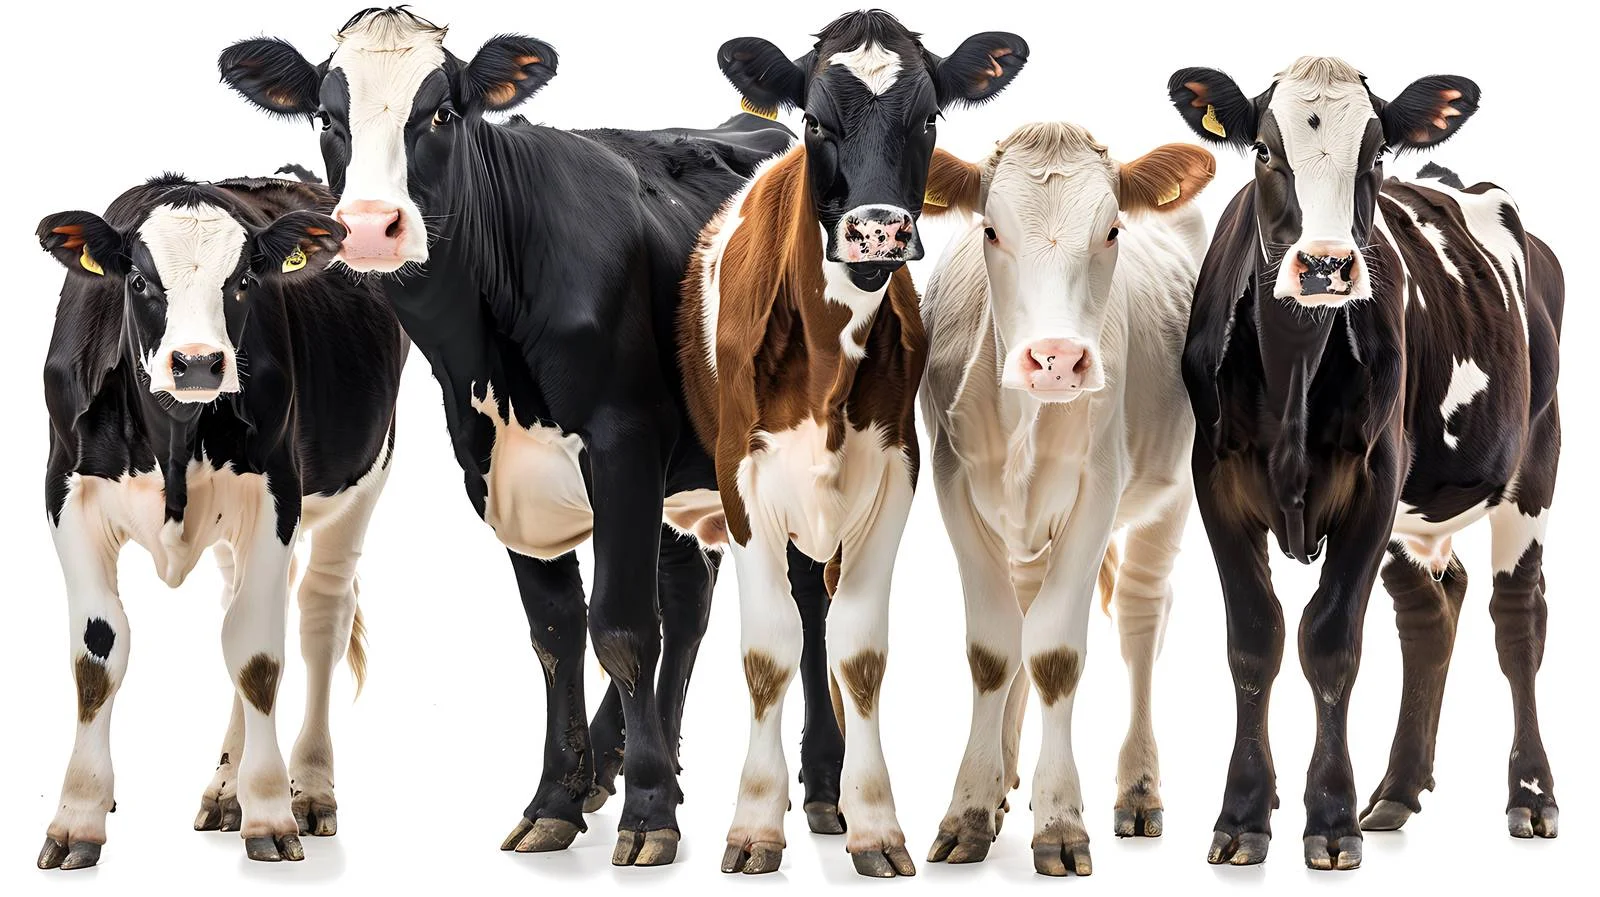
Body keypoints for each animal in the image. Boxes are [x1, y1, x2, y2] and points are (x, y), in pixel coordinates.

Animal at [33, 172, 405, 868]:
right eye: (139, 280)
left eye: (243, 280)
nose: (200, 363)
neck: (175, 438)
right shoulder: (66, 496)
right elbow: (98, 657)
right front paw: (77, 818)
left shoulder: (277, 496)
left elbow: (257, 657)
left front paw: (271, 814)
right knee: (237, 607)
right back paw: (226, 788)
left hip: (366, 480)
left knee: (320, 618)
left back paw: (309, 788)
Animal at [217, 6, 808, 866]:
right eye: (328, 118)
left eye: (441, 113)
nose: (369, 230)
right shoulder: (492, 463)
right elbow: (558, 631)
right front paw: (559, 796)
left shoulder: (626, 445)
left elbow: (622, 626)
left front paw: (648, 814)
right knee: (687, 594)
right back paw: (621, 760)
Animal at [676, 9, 1027, 878]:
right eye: (814, 121)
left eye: (929, 118)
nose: (877, 232)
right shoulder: (741, 482)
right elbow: (767, 653)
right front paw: (754, 824)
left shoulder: (894, 473)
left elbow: (857, 651)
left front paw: (874, 822)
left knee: (820, 616)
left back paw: (828, 791)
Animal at [916, 123, 1215, 875]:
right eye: (991, 229)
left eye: (1112, 230)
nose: (1055, 359)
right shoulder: (951, 480)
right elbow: (996, 649)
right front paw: (972, 806)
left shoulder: (1097, 490)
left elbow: (1054, 653)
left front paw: (1059, 821)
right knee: (1023, 607)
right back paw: (1003, 778)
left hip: (1172, 489)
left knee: (1142, 613)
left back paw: (1137, 789)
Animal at [1167, 57, 1564, 870]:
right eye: (1265, 151)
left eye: (1376, 155)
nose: (1325, 266)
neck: (1293, 367)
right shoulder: (1213, 479)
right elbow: (1254, 637)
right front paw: (1246, 814)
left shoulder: (1375, 482)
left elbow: (1329, 641)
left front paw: (1328, 818)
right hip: (1419, 507)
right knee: (1429, 613)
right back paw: (1397, 791)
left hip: (1534, 464)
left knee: (1518, 619)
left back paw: (1531, 795)